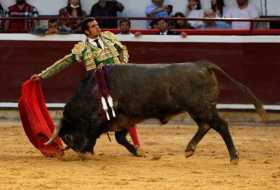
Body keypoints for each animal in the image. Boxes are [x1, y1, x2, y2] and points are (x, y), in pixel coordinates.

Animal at [44, 60, 266, 163]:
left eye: (68, 136)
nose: (78, 150)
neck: (91, 90)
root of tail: (203, 64)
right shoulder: (123, 118)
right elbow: (120, 138)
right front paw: (138, 151)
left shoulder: (104, 119)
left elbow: (97, 135)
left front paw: (87, 152)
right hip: (199, 109)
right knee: (205, 126)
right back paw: (189, 149)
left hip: (202, 107)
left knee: (220, 125)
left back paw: (234, 157)